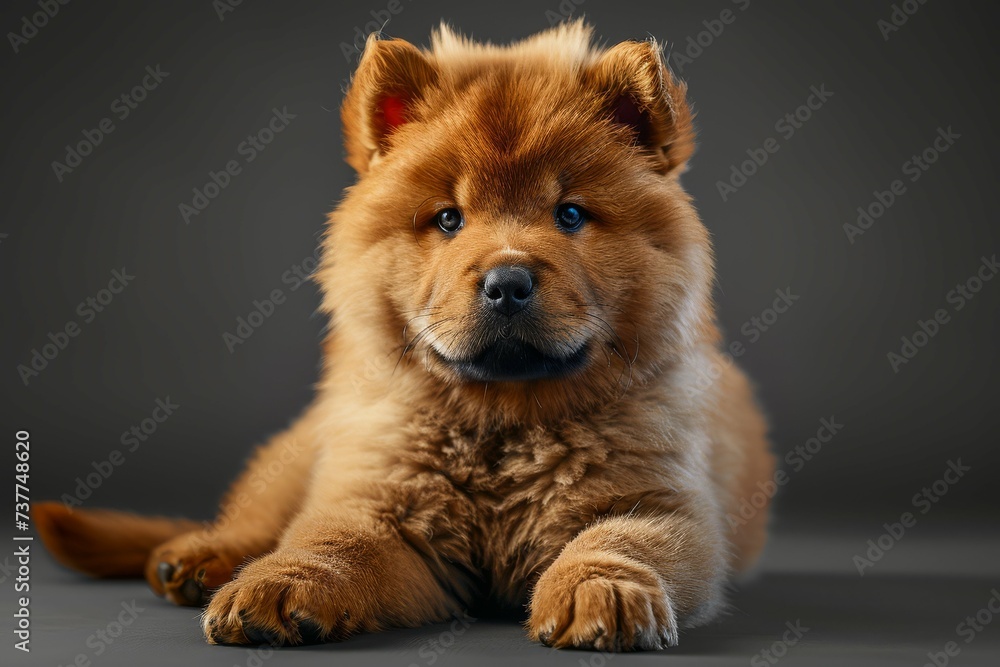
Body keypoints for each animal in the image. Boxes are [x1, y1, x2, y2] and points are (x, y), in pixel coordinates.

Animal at [35, 22, 772, 652]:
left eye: (569, 215)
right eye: (448, 219)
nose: (507, 282)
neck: (503, 423)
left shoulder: (662, 503)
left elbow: (619, 543)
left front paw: (604, 594)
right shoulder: (381, 501)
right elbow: (330, 539)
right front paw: (275, 587)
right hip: (301, 455)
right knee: (254, 518)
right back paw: (195, 558)